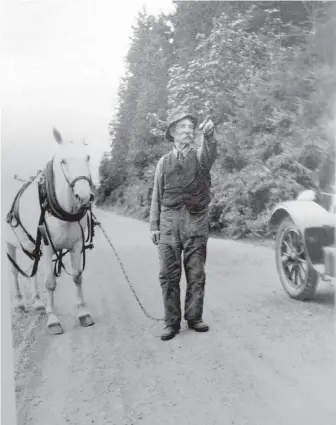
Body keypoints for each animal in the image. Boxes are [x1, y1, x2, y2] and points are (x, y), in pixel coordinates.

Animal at [4, 127, 95, 332]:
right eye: (63, 161)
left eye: (87, 157)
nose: (84, 197)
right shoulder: (46, 247)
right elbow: (50, 282)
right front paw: (53, 319)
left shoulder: (76, 245)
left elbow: (77, 277)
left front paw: (83, 313)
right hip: (9, 244)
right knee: (14, 272)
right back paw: (20, 303)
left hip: (32, 244)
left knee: (34, 270)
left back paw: (38, 303)